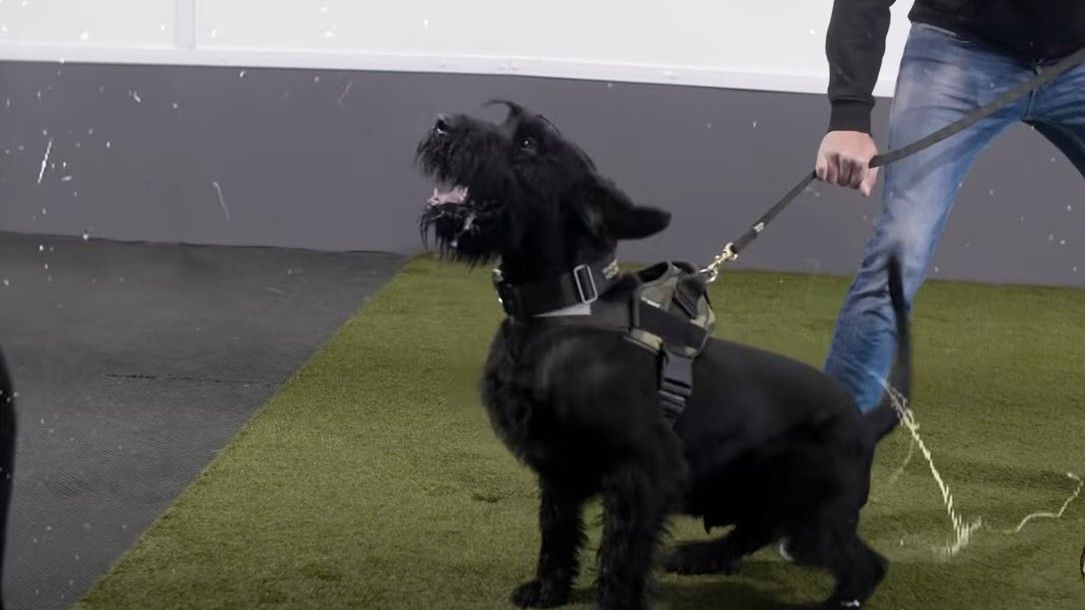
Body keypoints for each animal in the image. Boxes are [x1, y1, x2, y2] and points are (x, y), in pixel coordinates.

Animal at [414, 102, 907, 603]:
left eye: (530, 143)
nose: (442, 125)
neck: (563, 308)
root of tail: (865, 421)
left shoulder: (641, 473)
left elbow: (621, 559)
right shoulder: (558, 468)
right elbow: (556, 533)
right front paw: (548, 590)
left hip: (813, 511)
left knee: (865, 565)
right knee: (759, 529)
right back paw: (702, 556)